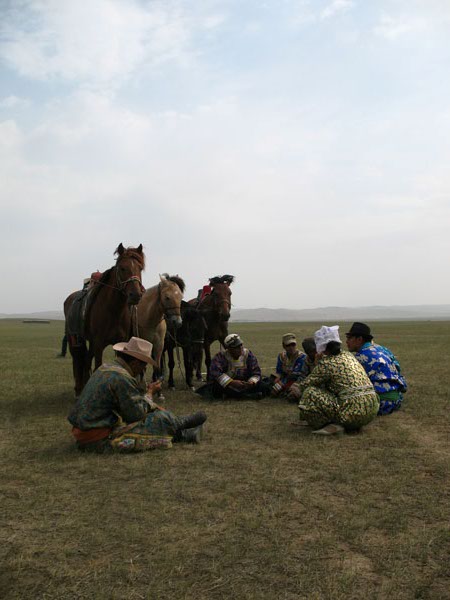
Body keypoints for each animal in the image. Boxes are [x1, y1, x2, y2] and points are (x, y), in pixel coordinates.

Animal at [64, 241, 145, 396]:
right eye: (122, 268)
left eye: (141, 268)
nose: (136, 295)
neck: (113, 311)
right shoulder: (99, 343)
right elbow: (98, 367)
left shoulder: (119, 342)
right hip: (75, 340)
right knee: (77, 360)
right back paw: (78, 390)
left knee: (86, 361)